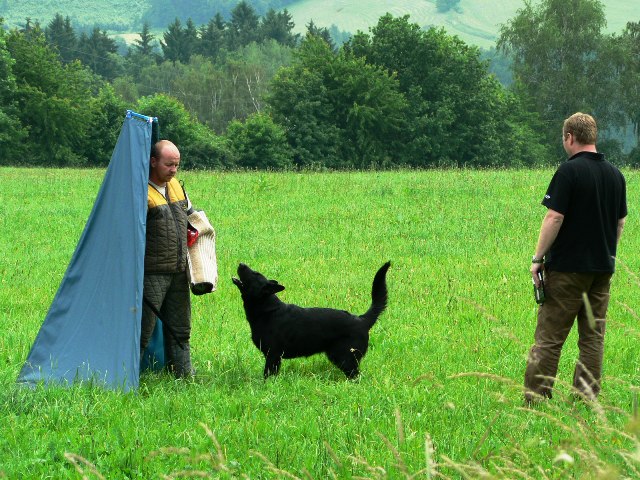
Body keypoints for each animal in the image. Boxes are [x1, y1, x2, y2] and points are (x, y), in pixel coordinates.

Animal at [231, 262, 390, 378]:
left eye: (255, 273)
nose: (241, 263)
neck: (267, 310)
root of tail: (362, 319)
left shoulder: (273, 355)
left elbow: (268, 375)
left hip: (346, 359)